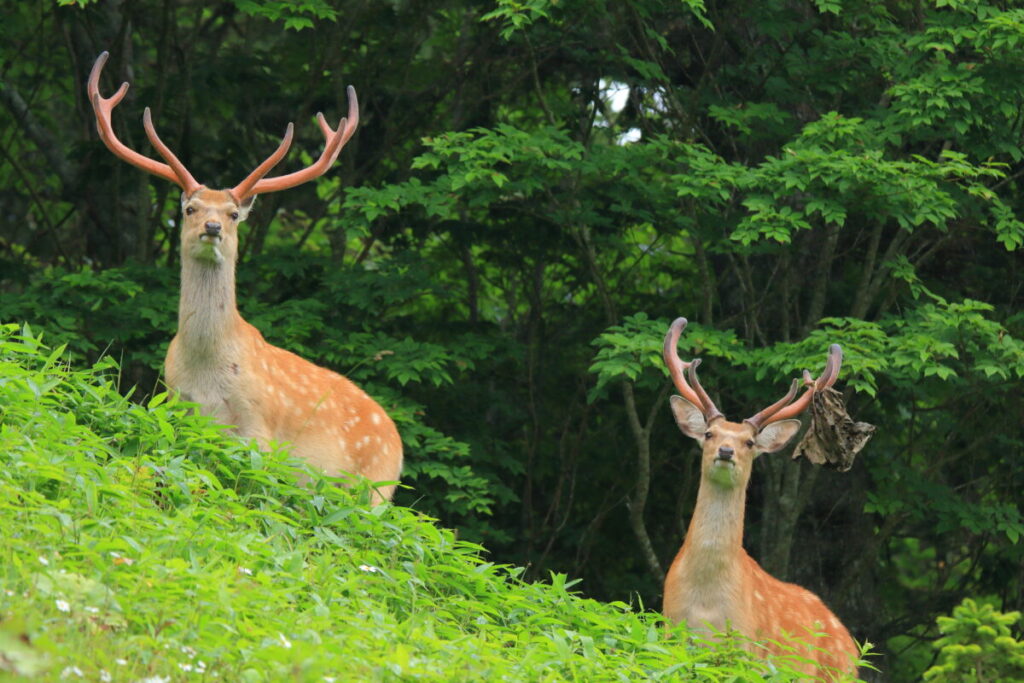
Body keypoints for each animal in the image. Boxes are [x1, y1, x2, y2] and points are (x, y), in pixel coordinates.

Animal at [86, 52, 401, 501]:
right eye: (191, 208)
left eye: (234, 213)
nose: (213, 227)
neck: (207, 368)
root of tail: (399, 444)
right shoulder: (176, 407)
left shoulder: (259, 429)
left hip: (375, 487)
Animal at [663, 317, 856, 679]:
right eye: (709, 434)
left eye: (749, 442)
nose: (726, 451)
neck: (706, 598)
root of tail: (853, 647)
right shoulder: (669, 628)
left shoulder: (746, 645)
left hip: (835, 673)